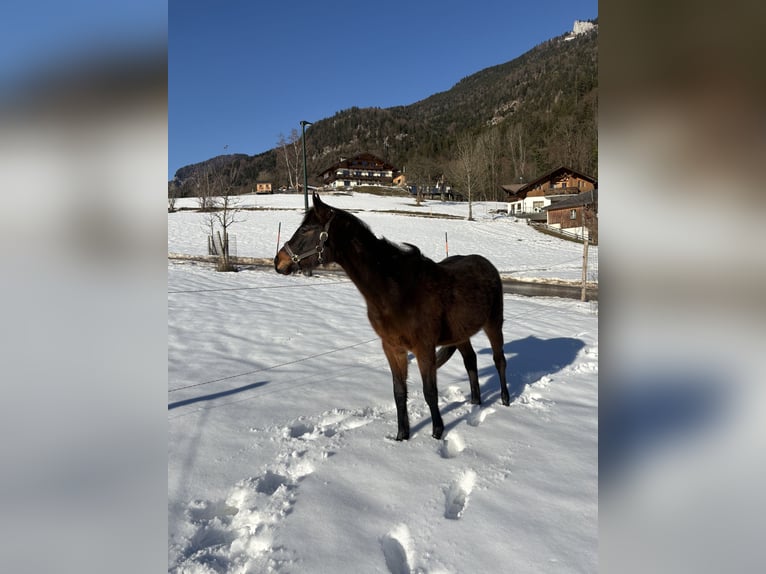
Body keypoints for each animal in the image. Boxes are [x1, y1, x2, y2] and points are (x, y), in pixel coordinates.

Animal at [275, 193, 510, 441]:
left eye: (306, 230)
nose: (278, 262)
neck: (397, 292)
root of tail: (487, 264)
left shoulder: (423, 348)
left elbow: (430, 391)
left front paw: (437, 433)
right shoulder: (392, 348)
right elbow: (399, 392)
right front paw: (401, 436)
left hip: (493, 324)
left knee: (499, 360)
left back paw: (505, 400)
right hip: (460, 334)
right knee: (471, 361)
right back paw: (475, 402)